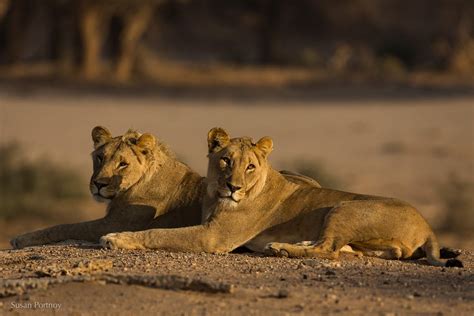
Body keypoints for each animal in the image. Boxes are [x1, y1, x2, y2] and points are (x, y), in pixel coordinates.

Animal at [11, 124, 322, 248]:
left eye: (122, 164)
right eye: (100, 157)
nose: (99, 184)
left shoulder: (115, 223)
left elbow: (63, 226)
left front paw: (22, 237)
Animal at [101, 127, 462, 268]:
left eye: (250, 166)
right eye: (225, 160)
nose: (234, 187)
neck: (216, 195)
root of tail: (427, 226)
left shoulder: (213, 237)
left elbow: (157, 232)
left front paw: (116, 238)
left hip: (344, 206)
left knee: (329, 250)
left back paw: (281, 248)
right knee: (335, 247)